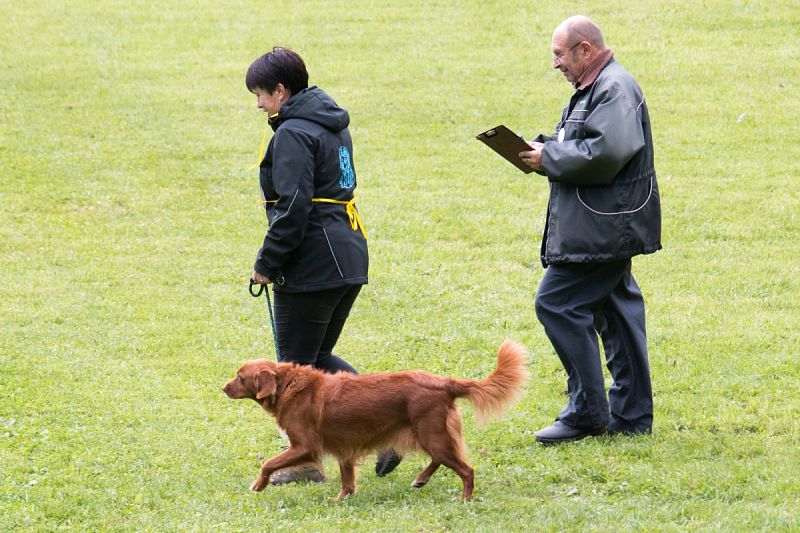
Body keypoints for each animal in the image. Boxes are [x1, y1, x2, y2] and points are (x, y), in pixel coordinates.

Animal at [222, 340, 528, 498]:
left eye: (240, 377)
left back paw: (465, 499)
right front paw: (342, 499)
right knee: (441, 459)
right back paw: (420, 480)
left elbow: (268, 463)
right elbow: (347, 480)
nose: (223, 388)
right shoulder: (344, 448)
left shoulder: (305, 446)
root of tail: (444, 382)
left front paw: (258, 485)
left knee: (466, 470)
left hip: (432, 434)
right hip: (431, 435)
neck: (287, 385)